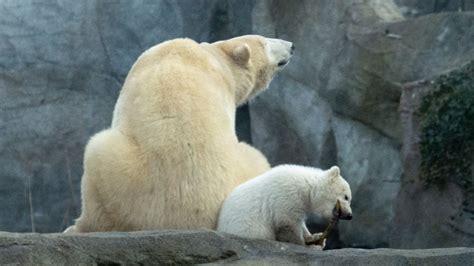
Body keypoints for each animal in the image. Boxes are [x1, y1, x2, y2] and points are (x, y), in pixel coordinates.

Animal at [218, 164, 352, 247]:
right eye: (346, 197)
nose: (349, 215)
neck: (306, 186)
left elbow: (300, 222)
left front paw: (315, 237)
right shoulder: (287, 196)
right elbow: (288, 224)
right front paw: (308, 245)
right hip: (248, 227)